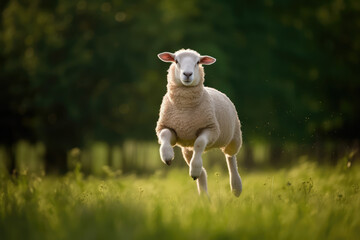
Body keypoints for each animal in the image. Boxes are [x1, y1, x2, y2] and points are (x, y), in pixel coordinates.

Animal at [155, 48, 242, 197]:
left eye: (197, 62)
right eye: (176, 61)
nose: (187, 74)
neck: (184, 109)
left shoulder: (210, 129)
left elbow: (200, 143)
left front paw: (194, 168)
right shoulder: (169, 127)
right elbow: (165, 136)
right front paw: (167, 156)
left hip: (233, 136)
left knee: (230, 157)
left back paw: (236, 187)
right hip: (186, 148)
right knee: (203, 171)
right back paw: (203, 194)